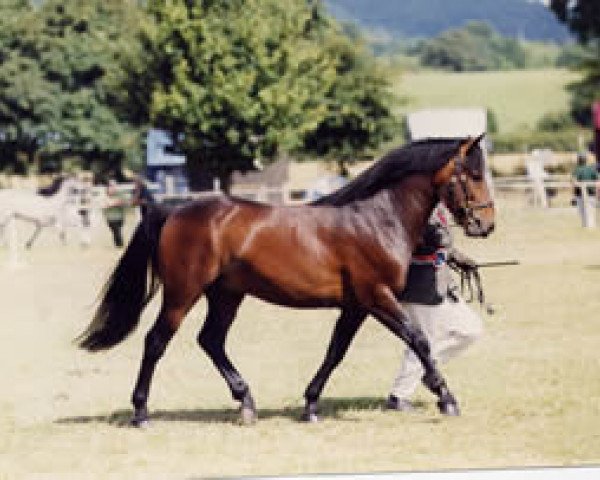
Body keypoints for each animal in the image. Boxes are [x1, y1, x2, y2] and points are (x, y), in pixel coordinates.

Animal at [77, 135, 494, 428]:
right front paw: (446, 398)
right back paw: (141, 413)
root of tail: (173, 211)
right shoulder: (377, 298)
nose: (486, 224)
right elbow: (419, 340)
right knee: (156, 342)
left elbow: (335, 352)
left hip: (226, 295)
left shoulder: (356, 306)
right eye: (473, 175)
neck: (376, 218)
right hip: (183, 294)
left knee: (210, 340)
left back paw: (246, 403)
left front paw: (310, 405)